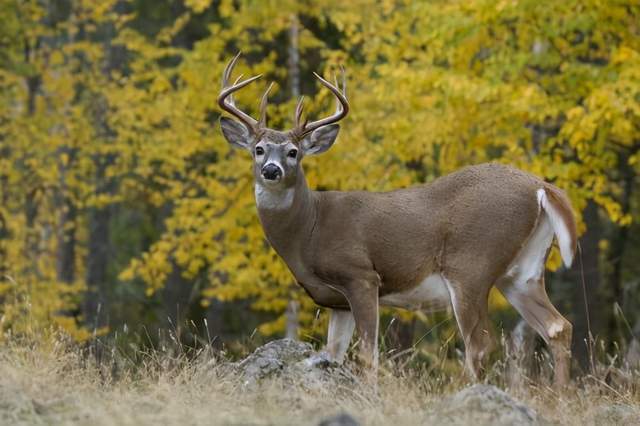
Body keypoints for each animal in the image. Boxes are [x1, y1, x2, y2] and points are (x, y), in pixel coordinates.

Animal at [218, 53, 576, 386]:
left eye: (293, 152)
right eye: (259, 149)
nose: (271, 170)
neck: (309, 229)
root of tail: (540, 186)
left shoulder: (361, 276)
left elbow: (368, 354)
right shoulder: (337, 302)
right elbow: (332, 354)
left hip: (471, 265)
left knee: (481, 343)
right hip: (521, 273)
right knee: (558, 326)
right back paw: (559, 396)